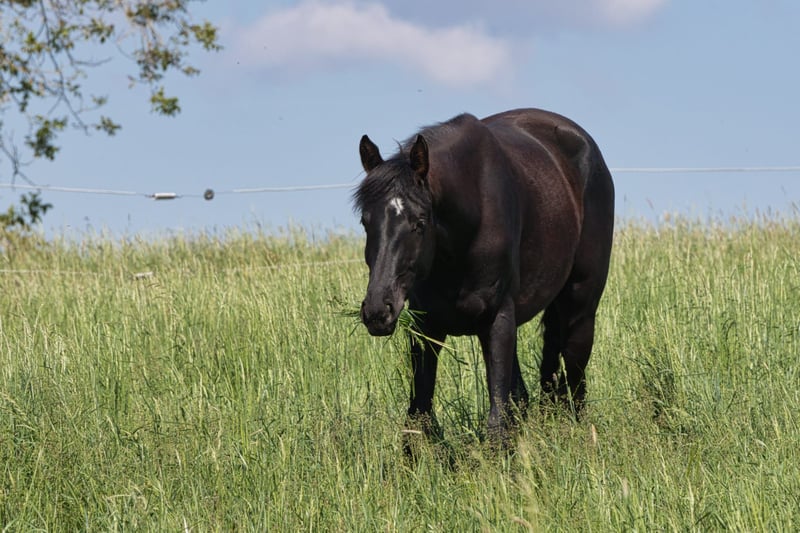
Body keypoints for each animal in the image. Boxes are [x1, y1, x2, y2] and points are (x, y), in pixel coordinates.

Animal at [353, 108, 614, 443]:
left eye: (419, 222)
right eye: (365, 221)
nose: (377, 311)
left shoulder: (497, 319)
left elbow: (497, 424)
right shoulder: (426, 327)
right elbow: (418, 418)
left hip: (580, 308)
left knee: (575, 380)